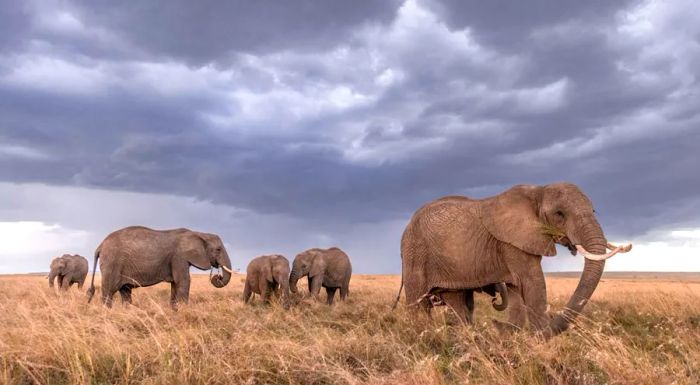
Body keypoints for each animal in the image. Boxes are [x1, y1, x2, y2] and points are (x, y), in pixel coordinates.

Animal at [86, 225, 234, 308]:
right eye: (218, 250)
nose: (218, 276)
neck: (199, 233)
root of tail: (100, 246)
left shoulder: (176, 259)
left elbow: (176, 284)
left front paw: (175, 310)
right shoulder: (179, 257)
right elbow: (184, 281)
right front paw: (185, 311)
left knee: (125, 292)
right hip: (112, 263)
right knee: (109, 292)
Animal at [396, 183, 632, 336]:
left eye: (594, 210)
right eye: (559, 214)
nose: (627, 246)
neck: (538, 191)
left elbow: (516, 289)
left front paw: (516, 335)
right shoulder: (512, 242)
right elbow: (533, 283)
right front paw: (541, 341)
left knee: (457, 301)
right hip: (415, 253)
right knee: (418, 304)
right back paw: (422, 336)